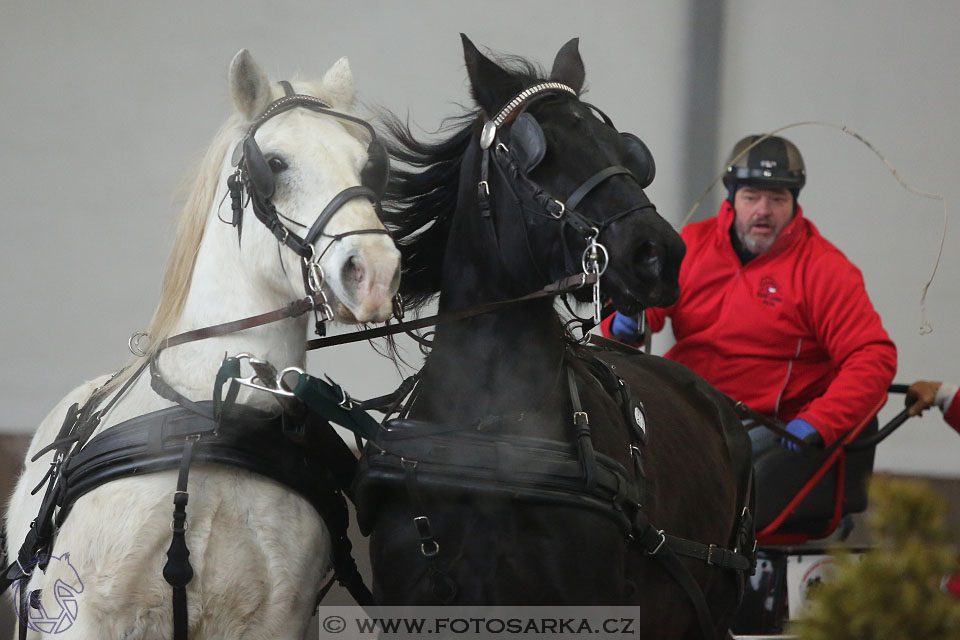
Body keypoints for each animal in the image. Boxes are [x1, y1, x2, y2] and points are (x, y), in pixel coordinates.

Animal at [4, 50, 402, 640]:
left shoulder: (275, 619)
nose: (375, 273)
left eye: (367, 167)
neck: (214, 410)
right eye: (275, 164)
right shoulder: (81, 616)